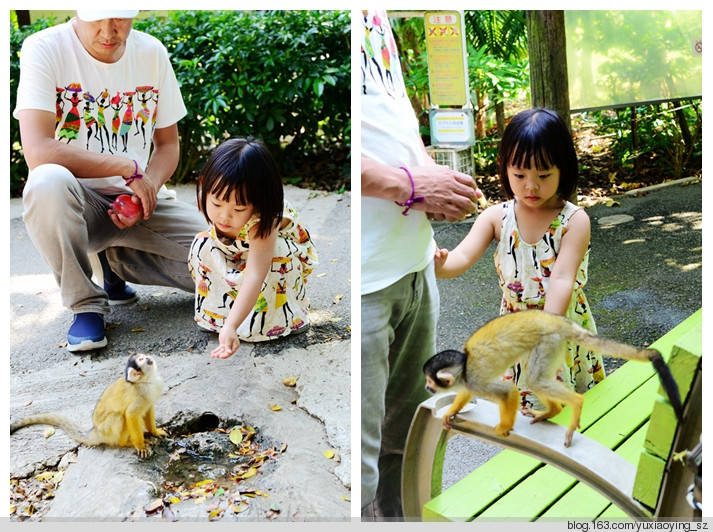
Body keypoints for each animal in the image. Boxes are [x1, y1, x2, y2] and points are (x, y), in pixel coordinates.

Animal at [10, 354, 166, 458]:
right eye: (141, 360)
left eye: (144, 356)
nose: (148, 357)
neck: (146, 380)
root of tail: (95, 431)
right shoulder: (140, 396)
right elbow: (131, 415)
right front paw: (140, 445)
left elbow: (148, 409)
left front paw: (155, 432)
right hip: (106, 430)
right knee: (119, 415)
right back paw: (124, 443)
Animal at [420, 310, 680, 446]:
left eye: (431, 381)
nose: (427, 387)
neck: (464, 367)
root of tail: (558, 320)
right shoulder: (468, 382)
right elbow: (465, 394)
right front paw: (452, 412)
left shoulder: (475, 379)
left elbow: (508, 392)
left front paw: (504, 427)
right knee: (532, 374)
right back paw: (551, 411)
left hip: (549, 341)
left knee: (534, 379)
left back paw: (576, 403)